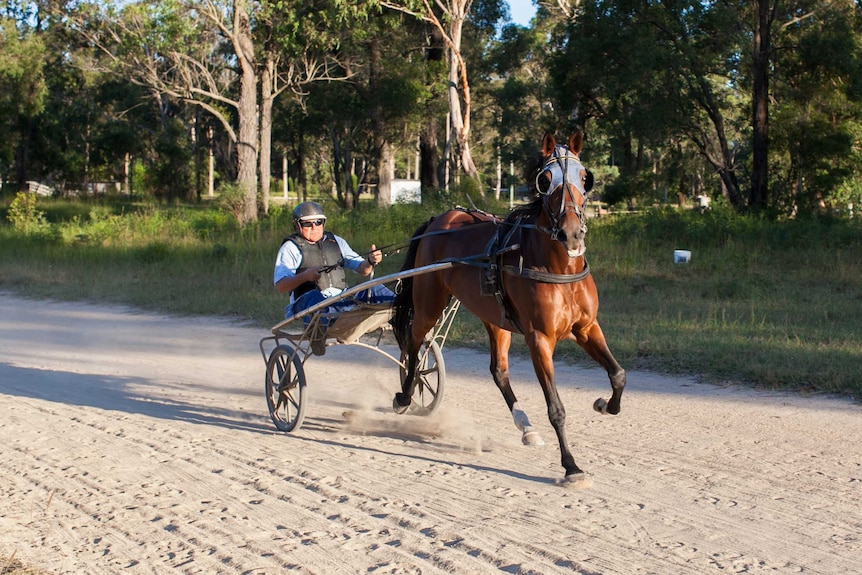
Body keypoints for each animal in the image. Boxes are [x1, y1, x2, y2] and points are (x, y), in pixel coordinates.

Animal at [392, 132, 628, 486]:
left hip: (495, 317)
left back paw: (526, 427)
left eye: (584, 177)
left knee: (498, 370)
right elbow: (556, 407)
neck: (558, 267)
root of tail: (440, 219)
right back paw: (405, 396)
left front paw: (604, 404)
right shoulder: (539, 338)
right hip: (428, 301)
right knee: (415, 343)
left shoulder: (586, 328)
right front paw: (571, 466)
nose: (572, 233)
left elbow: (618, 374)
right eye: (545, 179)